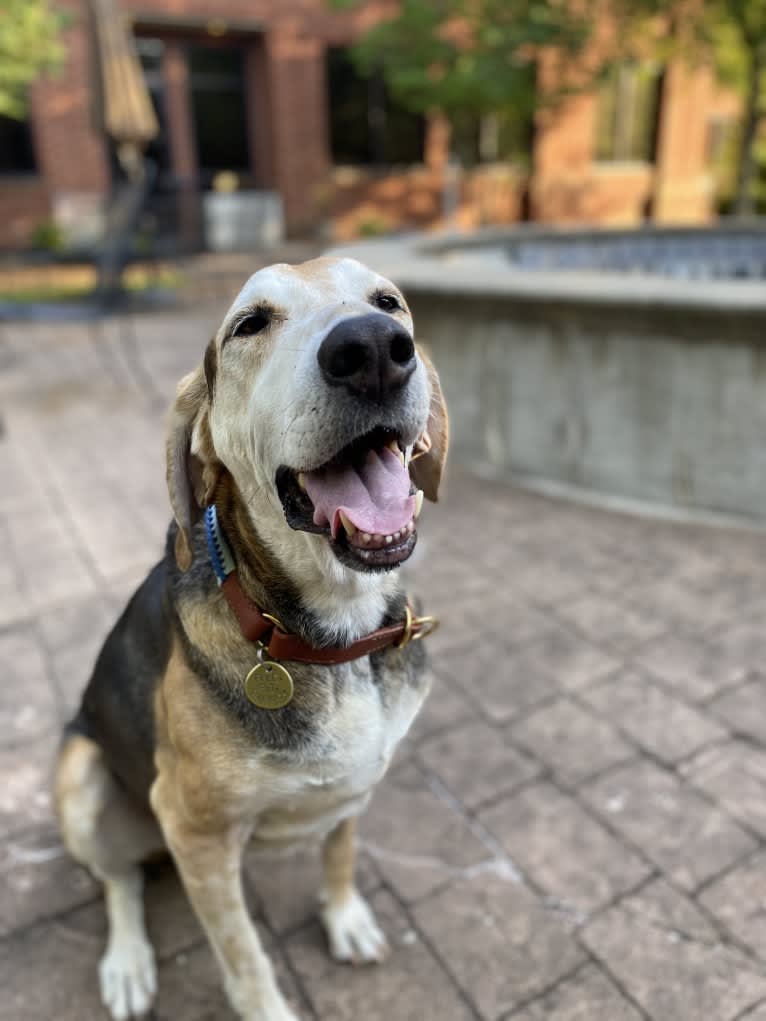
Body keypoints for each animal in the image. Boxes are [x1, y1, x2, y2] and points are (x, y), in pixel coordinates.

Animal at [56, 257, 449, 1021]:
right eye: (250, 324)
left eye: (389, 301)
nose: (372, 349)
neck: (331, 634)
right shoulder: (197, 833)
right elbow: (243, 955)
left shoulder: (359, 782)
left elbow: (341, 851)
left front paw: (345, 917)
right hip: (81, 779)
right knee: (119, 882)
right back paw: (127, 963)